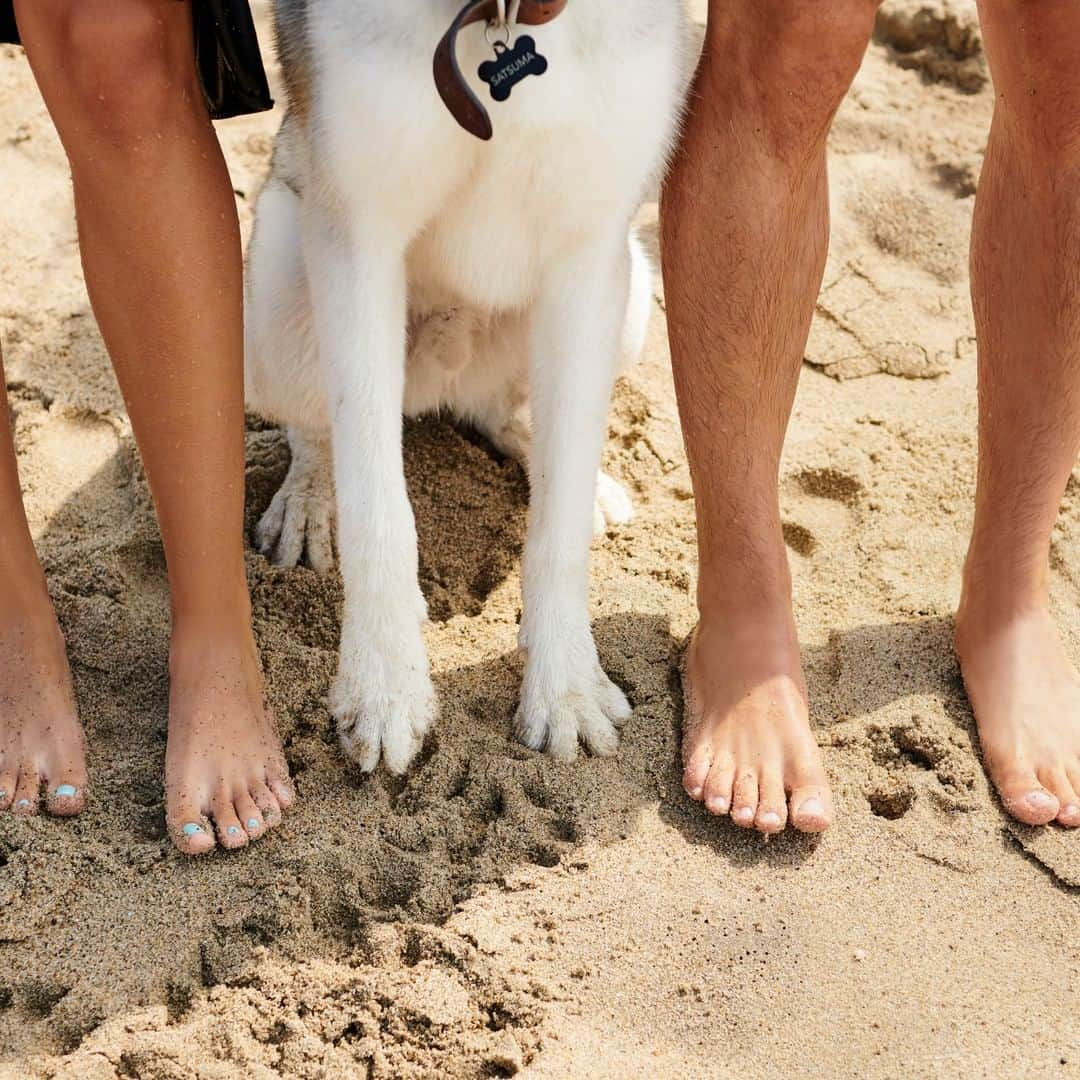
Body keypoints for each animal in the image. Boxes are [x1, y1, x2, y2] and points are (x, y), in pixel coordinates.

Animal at [247, 0, 682, 777]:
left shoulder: (590, 250)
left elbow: (558, 523)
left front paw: (565, 687)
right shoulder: (357, 235)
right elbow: (376, 506)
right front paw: (383, 686)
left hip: (632, 289)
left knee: (504, 414)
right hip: (276, 289)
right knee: (318, 426)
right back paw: (309, 497)